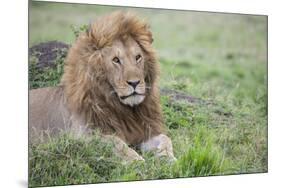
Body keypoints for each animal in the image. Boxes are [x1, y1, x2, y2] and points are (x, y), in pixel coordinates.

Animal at [30, 11, 175, 162]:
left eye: (138, 57)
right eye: (116, 60)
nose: (134, 83)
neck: (125, 111)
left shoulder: (144, 131)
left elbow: (166, 138)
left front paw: (168, 158)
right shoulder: (82, 135)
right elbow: (117, 143)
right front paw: (138, 161)